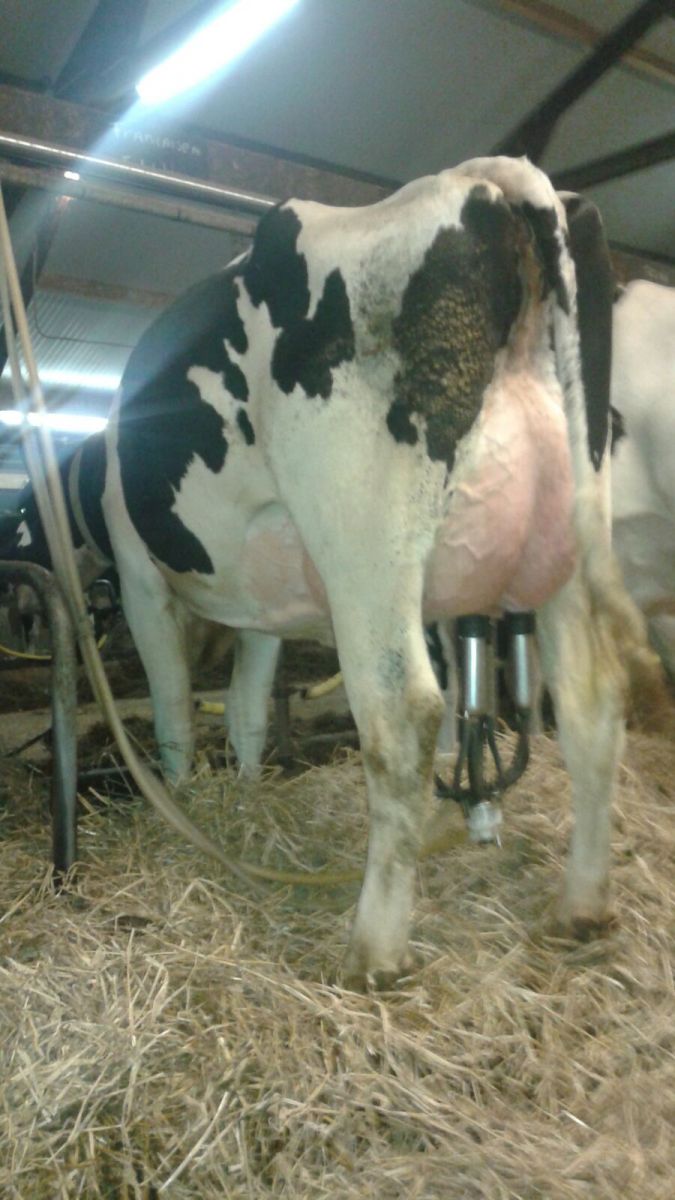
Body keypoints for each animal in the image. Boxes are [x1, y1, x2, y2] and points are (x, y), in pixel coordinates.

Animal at [97, 154, 657, 987]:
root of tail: (484, 180)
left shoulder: (140, 577)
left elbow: (171, 710)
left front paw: (182, 807)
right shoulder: (265, 603)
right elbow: (247, 707)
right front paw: (246, 796)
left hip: (364, 536)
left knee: (403, 715)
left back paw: (373, 951)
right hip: (565, 537)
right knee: (590, 701)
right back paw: (580, 909)